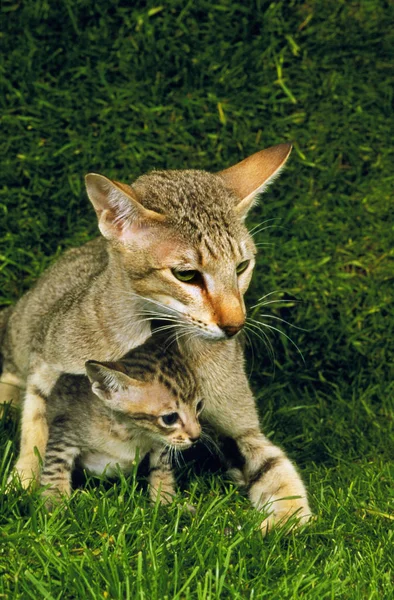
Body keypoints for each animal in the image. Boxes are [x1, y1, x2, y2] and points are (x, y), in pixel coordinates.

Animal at [40, 332, 203, 506]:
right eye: (170, 418)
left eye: (199, 406)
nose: (196, 437)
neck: (130, 433)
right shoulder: (64, 431)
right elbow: (55, 467)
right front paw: (53, 501)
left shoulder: (161, 443)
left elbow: (161, 468)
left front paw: (166, 500)